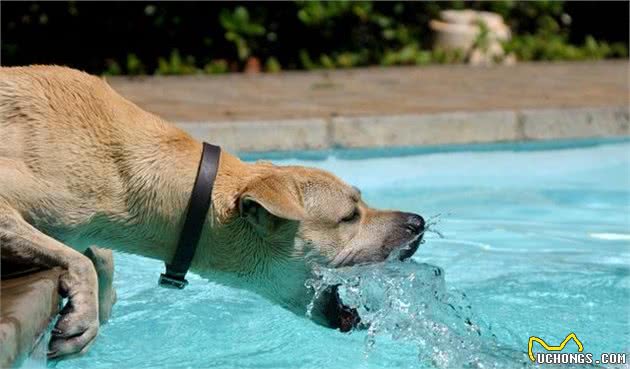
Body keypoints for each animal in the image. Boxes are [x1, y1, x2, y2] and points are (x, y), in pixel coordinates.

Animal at [0, 64, 428, 358]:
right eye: (349, 217)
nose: (418, 223)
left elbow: (99, 255)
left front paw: (101, 303)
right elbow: (82, 259)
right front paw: (84, 316)